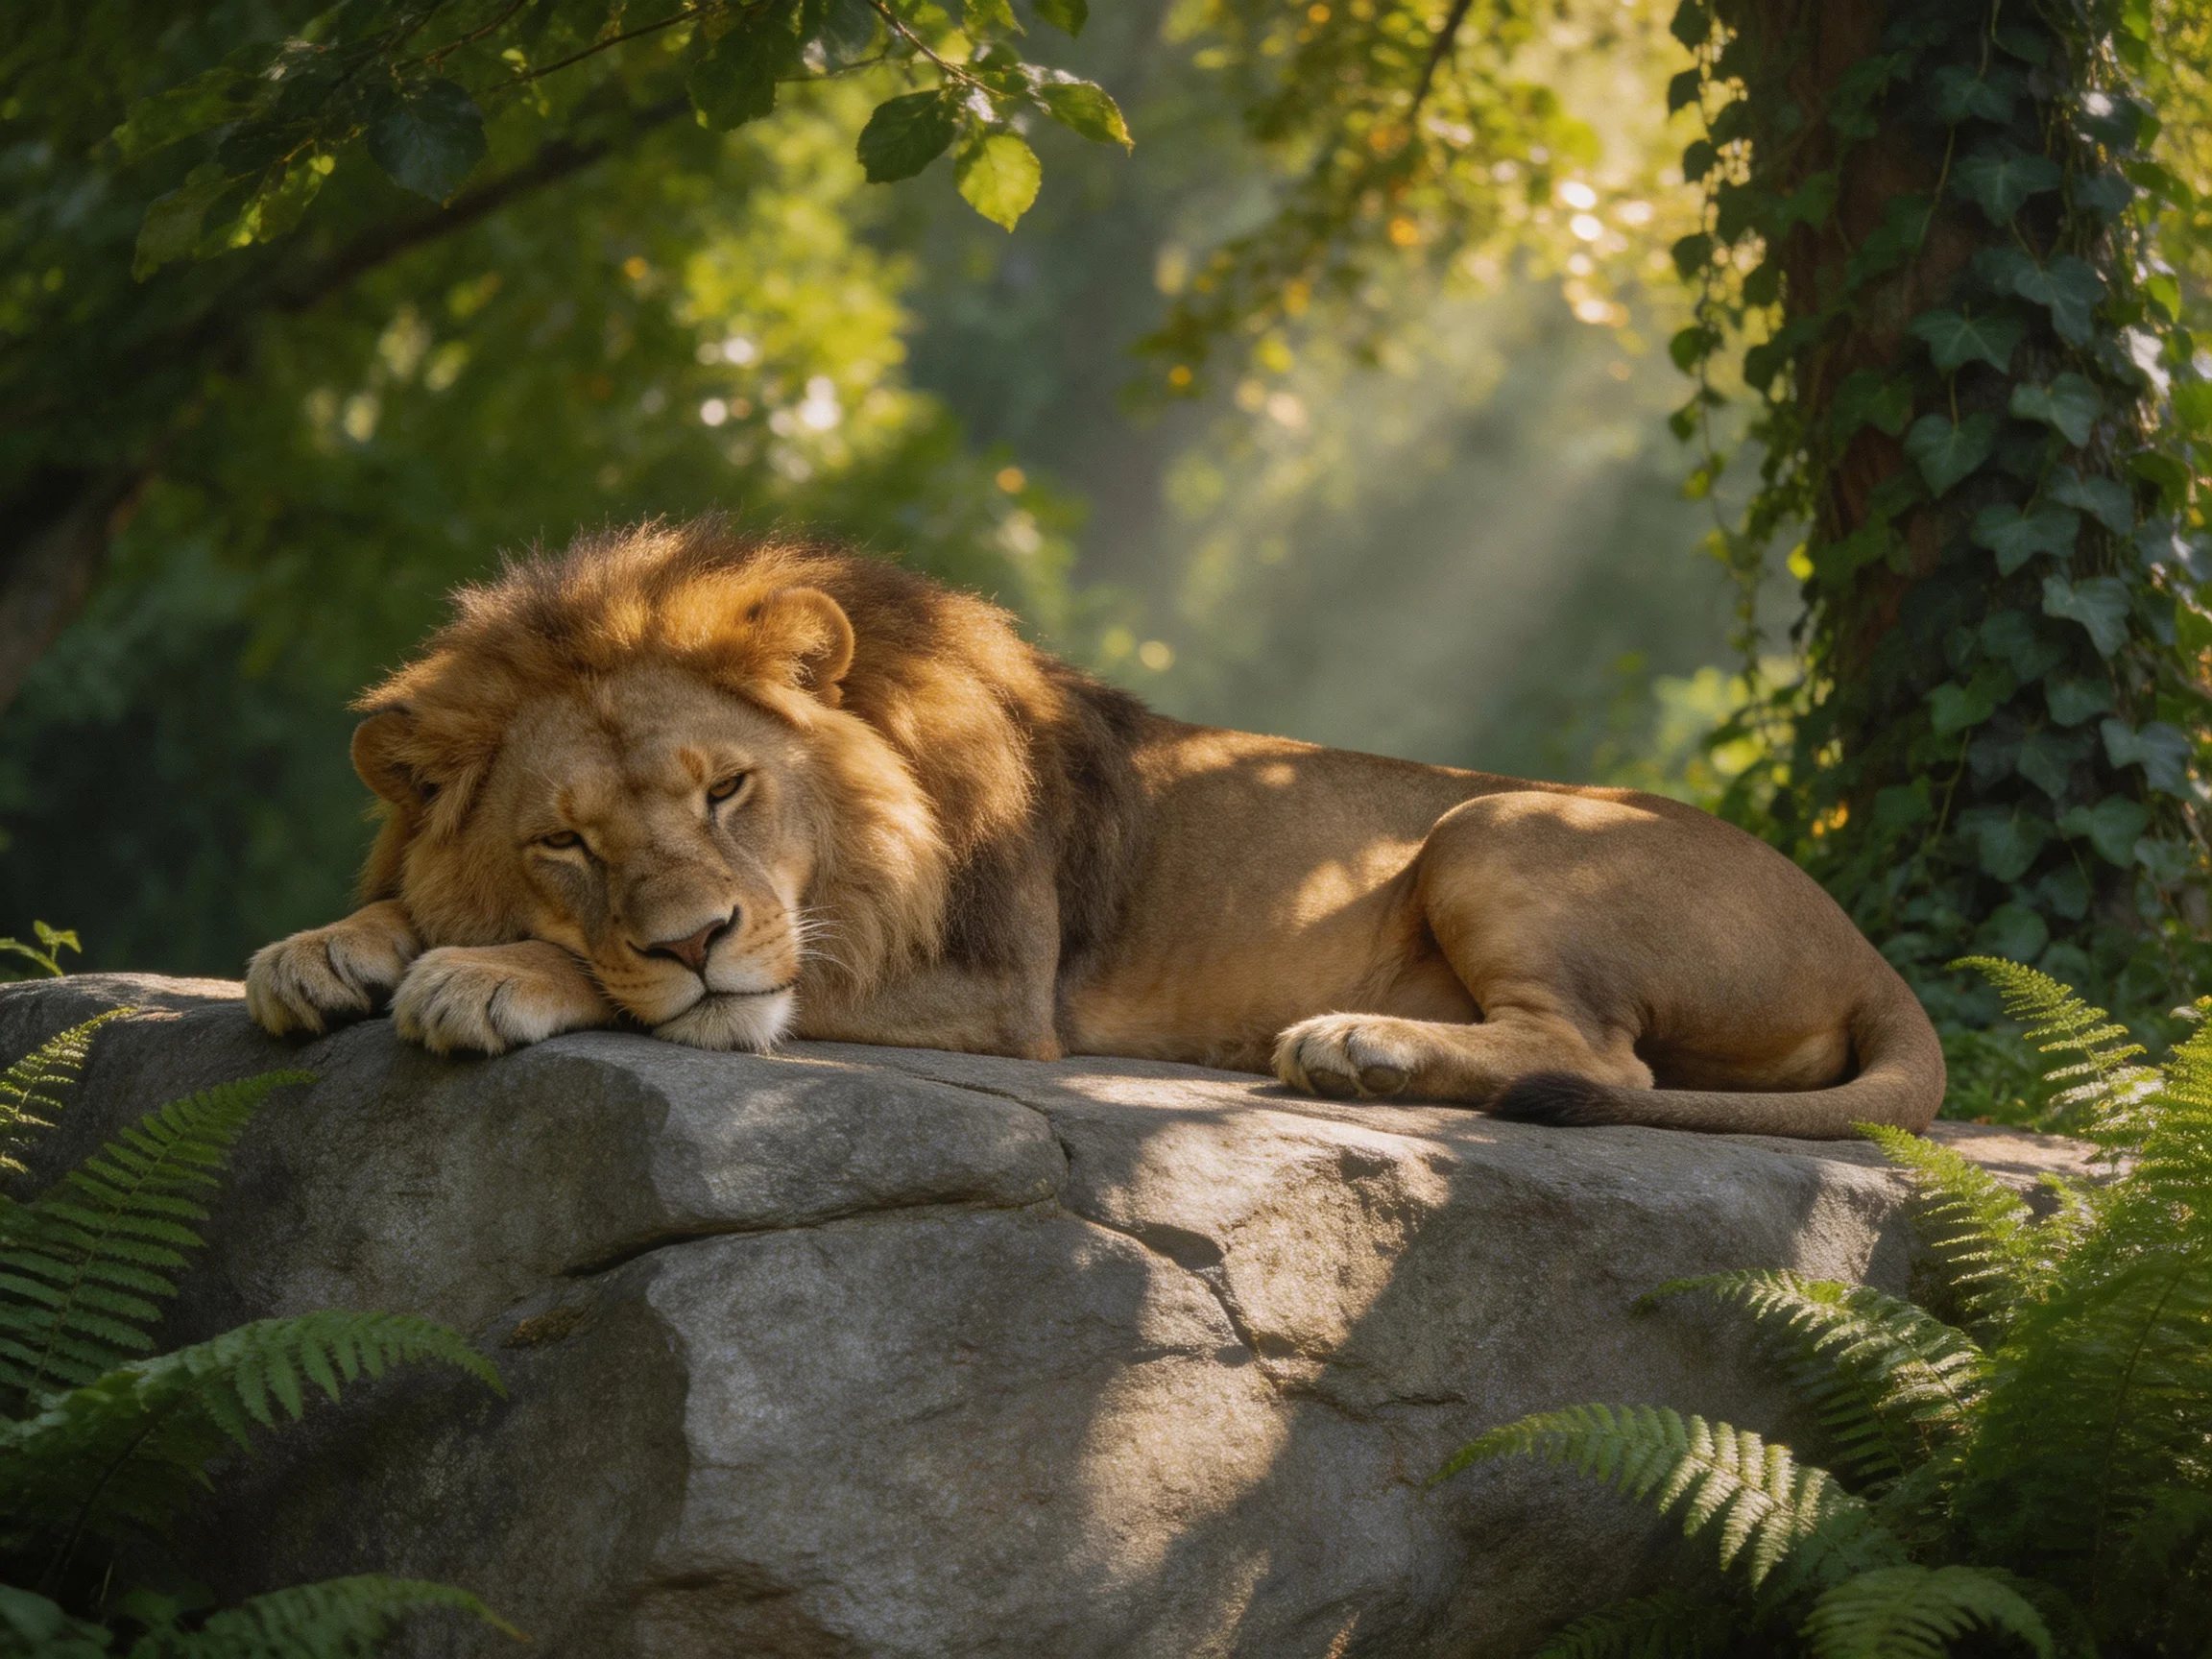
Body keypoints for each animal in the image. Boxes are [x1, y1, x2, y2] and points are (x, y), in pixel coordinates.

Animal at [245, 519, 1945, 1138]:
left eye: (727, 790)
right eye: (566, 846)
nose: (697, 937)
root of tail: (1871, 953)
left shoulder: (991, 990)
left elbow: (710, 992)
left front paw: (486, 975)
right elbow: (405, 904)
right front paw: (321, 948)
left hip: (1500, 825)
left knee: (1606, 1062)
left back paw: (1357, 1049)